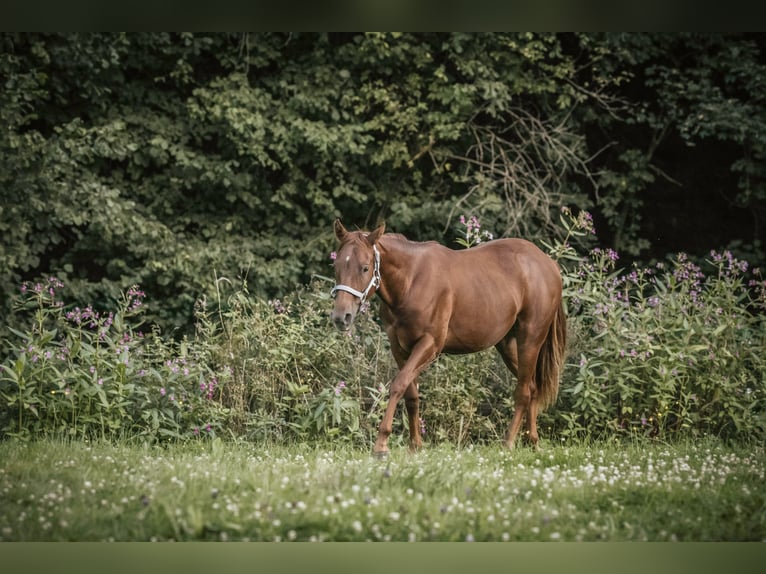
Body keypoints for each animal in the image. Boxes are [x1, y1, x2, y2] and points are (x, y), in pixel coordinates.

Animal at [330, 219, 566, 457]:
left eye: (365, 267)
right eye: (337, 266)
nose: (341, 317)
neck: (411, 281)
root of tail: (549, 264)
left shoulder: (429, 344)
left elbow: (398, 385)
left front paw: (381, 444)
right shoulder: (399, 347)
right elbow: (411, 394)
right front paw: (415, 445)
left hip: (530, 339)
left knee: (523, 391)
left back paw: (508, 442)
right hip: (507, 345)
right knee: (533, 387)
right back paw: (532, 441)